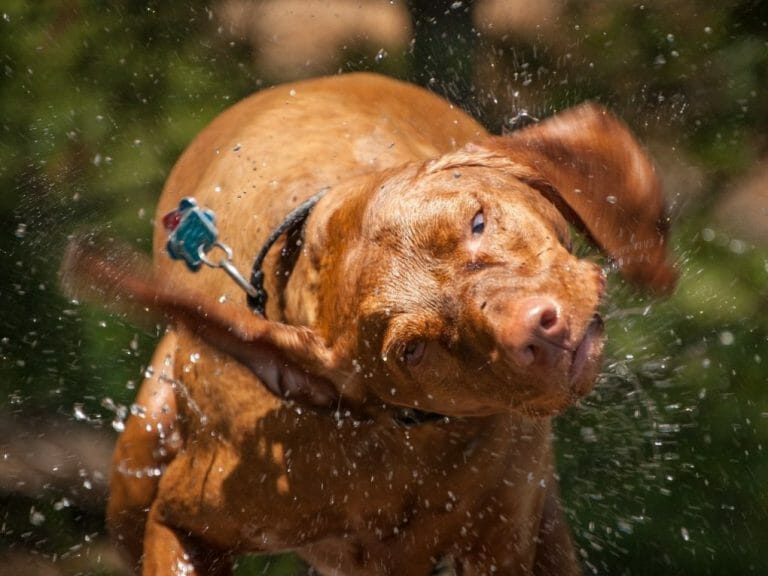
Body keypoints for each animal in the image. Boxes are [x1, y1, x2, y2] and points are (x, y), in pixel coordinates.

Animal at [67, 74, 680, 572]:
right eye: (413, 351)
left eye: (478, 221)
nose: (540, 329)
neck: (394, 444)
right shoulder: (184, 520)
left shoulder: (505, 540)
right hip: (139, 468)